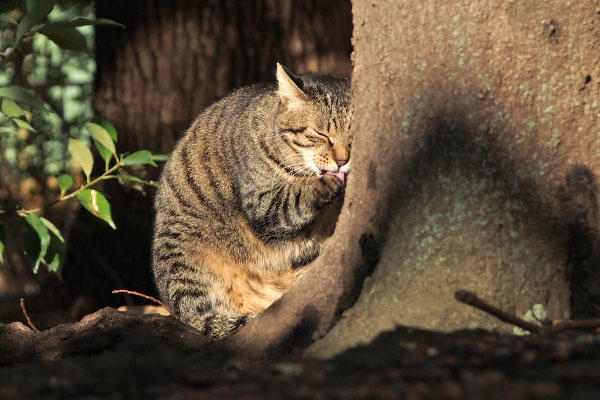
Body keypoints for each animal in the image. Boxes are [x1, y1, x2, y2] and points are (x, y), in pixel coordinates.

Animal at [152, 62, 354, 338]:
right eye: (320, 134)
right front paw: (326, 182)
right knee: (202, 318)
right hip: (182, 255)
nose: (342, 161)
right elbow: (296, 196)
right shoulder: (262, 205)